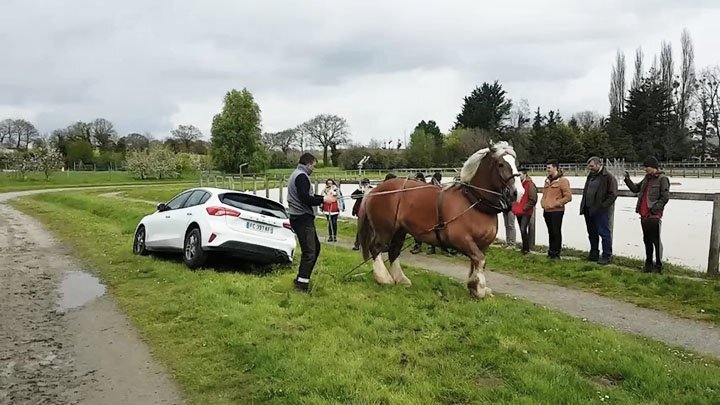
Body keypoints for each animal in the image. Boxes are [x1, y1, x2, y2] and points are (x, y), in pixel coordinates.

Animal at [358, 141, 524, 296]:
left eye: (516, 164)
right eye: (500, 164)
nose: (518, 193)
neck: (474, 202)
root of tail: (376, 189)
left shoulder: (482, 244)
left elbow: (477, 262)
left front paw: (474, 285)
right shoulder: (461, 239)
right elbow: (480, 259)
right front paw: (479, 288)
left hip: (400, 230)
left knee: (394, 251)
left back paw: (401, 279)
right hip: (385, 229)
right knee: (376, 248)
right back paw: (384, 278)